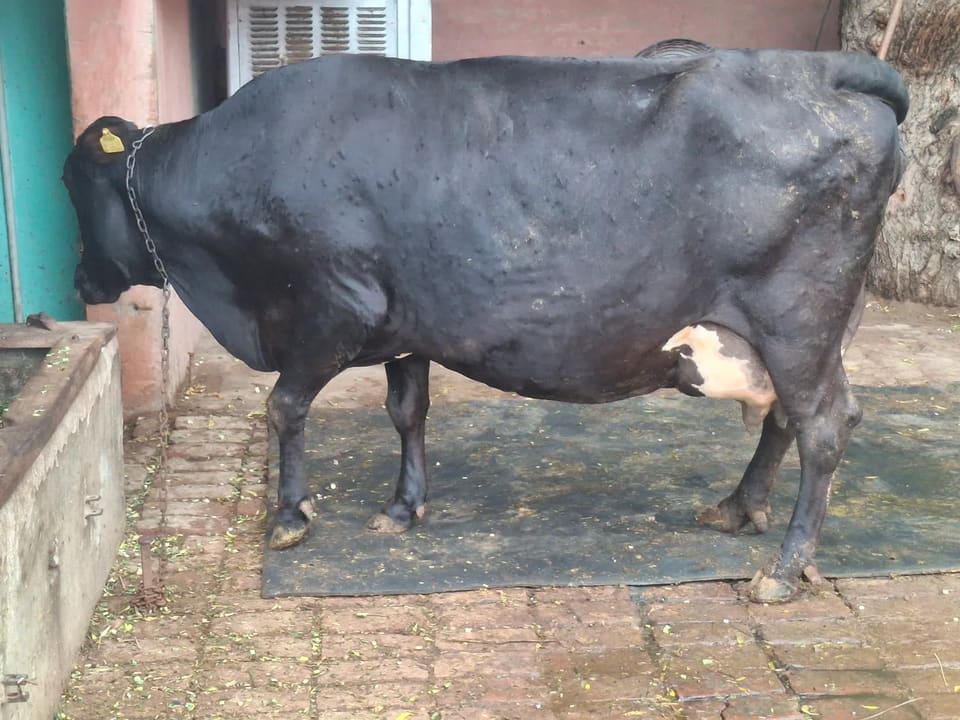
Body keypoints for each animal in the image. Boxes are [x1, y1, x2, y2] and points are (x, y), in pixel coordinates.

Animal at [62, 48, 908, 603]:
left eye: (71, 182)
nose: (77, 280)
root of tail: (821, 70)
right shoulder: (405, 323)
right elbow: (407, 410)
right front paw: (403, 508)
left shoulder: (335, 309)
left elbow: (284, 407)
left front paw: (291, 516)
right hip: (803, 333)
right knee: (788, 420)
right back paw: (738, 508)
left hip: (797, 318)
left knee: (824, 425)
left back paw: (783, 570)